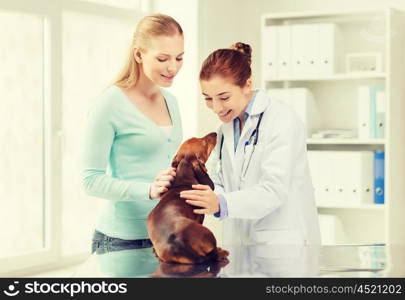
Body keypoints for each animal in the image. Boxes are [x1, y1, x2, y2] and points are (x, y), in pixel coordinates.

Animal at [146, 132, 229, 264]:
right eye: (203, 142)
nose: (215, 133)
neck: (183, 181)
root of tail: (177, 242)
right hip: (208, 233)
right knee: (214, 253)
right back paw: (222, 252)